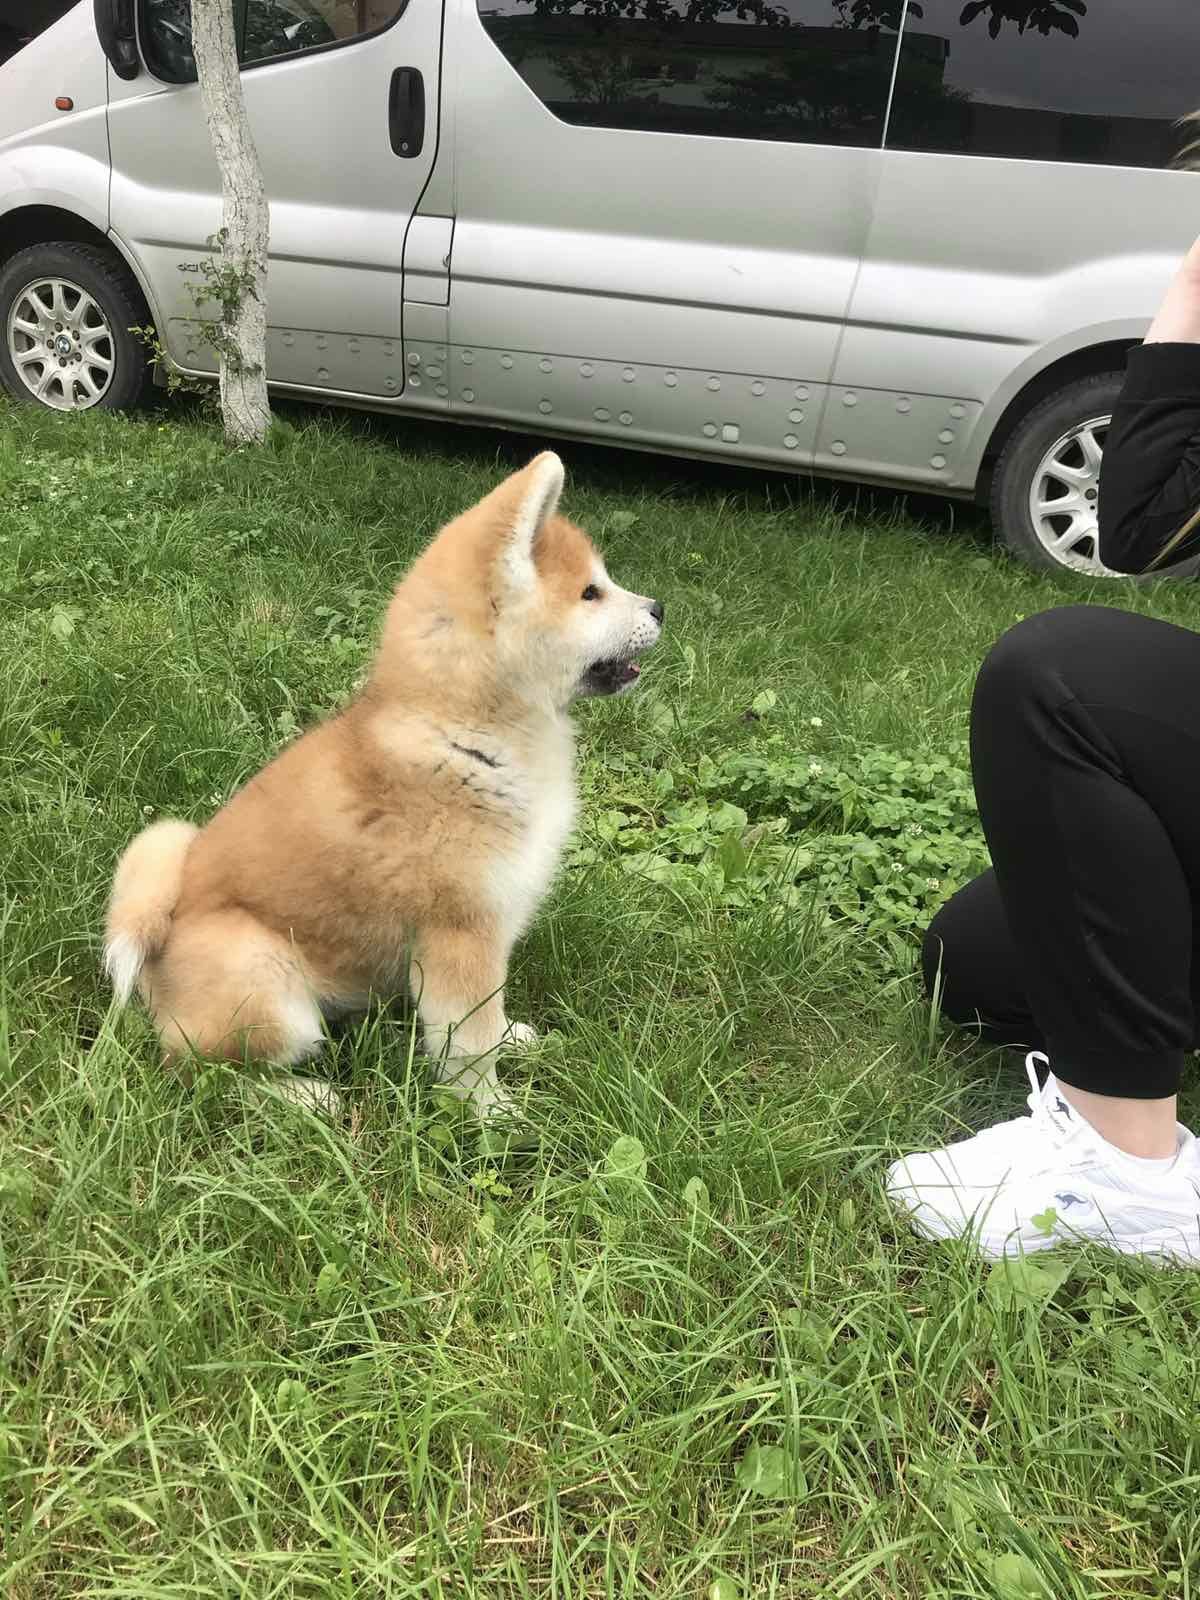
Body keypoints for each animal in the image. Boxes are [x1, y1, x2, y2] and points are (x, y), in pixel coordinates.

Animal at [101, 454, 668, 1113]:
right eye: (590, 593)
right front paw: (493, 1113)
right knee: (198, 1074)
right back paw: (306, 1099)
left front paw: (512, 1041)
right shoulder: (461, 936)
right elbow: (471, 1043)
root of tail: (157, 943)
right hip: (271, 986)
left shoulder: (490, 934)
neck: (465, 734)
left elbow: (490, 1019)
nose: (659, 608)